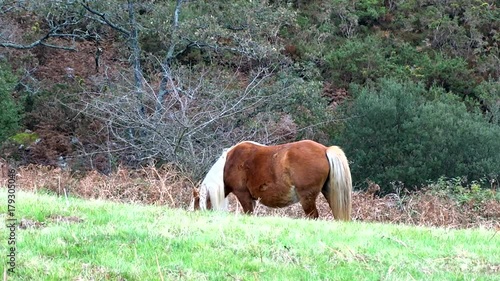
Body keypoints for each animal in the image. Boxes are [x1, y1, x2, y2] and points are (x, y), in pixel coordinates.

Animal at [191, 139, 352, 220]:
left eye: (196, 203)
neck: (228, 163)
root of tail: (325, 149)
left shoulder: (243, 195)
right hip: (329, 193)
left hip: (307, 198)